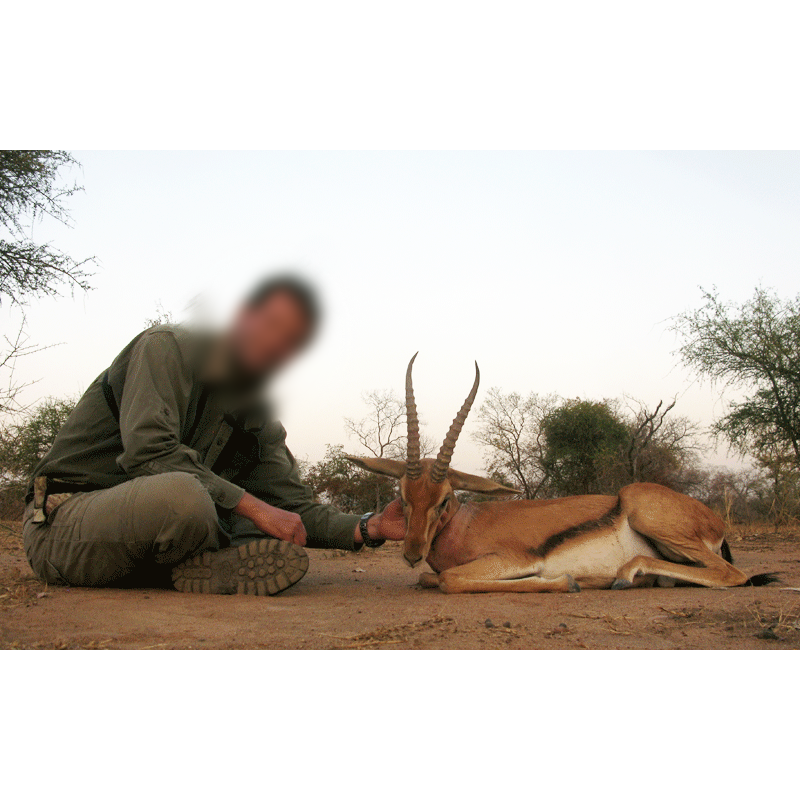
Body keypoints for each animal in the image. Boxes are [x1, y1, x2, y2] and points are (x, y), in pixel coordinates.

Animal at [346, 356, 780, 592]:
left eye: (444, 500)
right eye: (402, 496)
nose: (411, 553)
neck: (464, 526)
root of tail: (713, 520)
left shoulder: (512, 559)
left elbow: (449, 580)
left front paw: (568, 582)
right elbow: (430, 579)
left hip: (647, 512)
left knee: (733, 574)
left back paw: (622, 576)